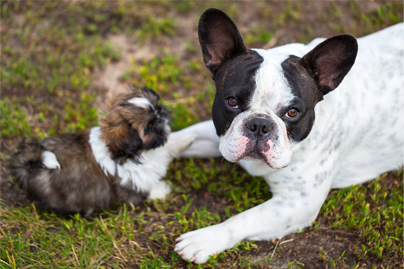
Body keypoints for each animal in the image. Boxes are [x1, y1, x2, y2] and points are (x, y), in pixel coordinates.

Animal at [10, 87, 196, 217]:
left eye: (157, 108)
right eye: (148, 128)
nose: (161, 116)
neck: (135, 154)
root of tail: (29, 169)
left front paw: (187, 138)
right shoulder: (134, 186)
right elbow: (147, 190)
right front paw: (163, 189)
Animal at [174, 7, 404, 262]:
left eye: (293, 112)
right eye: (232, 101)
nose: (259, 124)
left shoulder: (297, 203)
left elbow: (245, 218)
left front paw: (206, 238)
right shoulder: (221, 135)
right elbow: (180, 138)